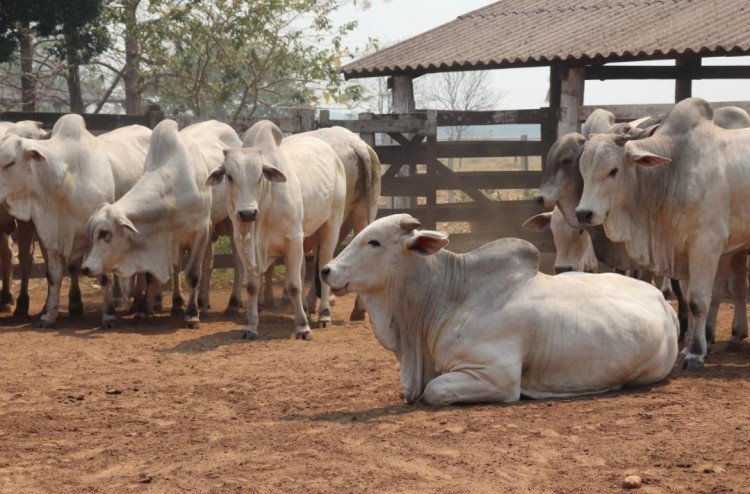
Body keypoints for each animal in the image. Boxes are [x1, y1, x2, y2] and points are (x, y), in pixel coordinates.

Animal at [0, 114, 151, 326]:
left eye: (10, 162)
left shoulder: (98, 237)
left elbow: (102, 276)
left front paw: (108, 315)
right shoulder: (51, 238)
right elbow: (54, 276)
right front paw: (49, 315)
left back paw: (139, 304)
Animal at [80, 119, 238, 328]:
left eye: (105, 233)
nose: (85, 268)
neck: (173, 188)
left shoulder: (201, 229)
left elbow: (193, 274)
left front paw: (192, 315)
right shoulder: (165, 238)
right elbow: (151, 275)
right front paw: (144, 311)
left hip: (232, 222)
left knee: (237, 262)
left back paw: (231, 304)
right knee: (204, 263)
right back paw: (195, 303)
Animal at [206, 121, 346, 342]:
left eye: (259, 176)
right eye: (229, 176)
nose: (247, 213)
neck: (265, 202)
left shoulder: (294, 240)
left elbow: (294, 285)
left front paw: (303, 328)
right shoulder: (243, 243)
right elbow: (252, 285)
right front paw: (250, 326)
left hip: (332, 223)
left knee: (323, 262)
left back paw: (324, 315)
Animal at [320, 213, 684, 406]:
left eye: (374, 242)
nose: (326, 270)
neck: (450, 297)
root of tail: (663, 303)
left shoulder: (497, 375)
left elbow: (434, 390)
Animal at [576, 96, 750, 368]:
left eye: (613, 170)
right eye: (583, 170)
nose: (583, 213)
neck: (675, 169)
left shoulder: (706, 245)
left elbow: (698, 300)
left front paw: (696, 353)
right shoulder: (682, 250)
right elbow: (688, 298)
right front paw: (690, 346)